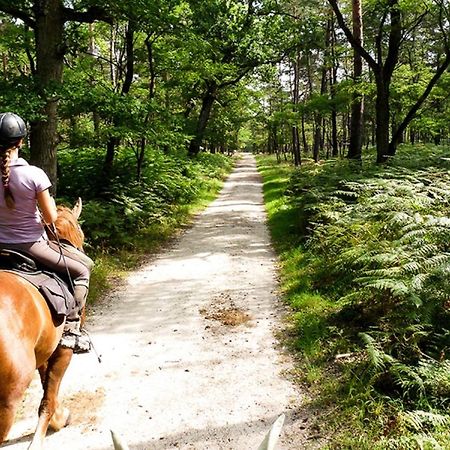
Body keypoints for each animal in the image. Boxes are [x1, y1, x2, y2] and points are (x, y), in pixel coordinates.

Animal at [0, 199, 85, 450]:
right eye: (81, 232)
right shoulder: (63, 349)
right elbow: (49, 394)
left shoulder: (44, 348)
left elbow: (48, 389)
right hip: (8, 399)